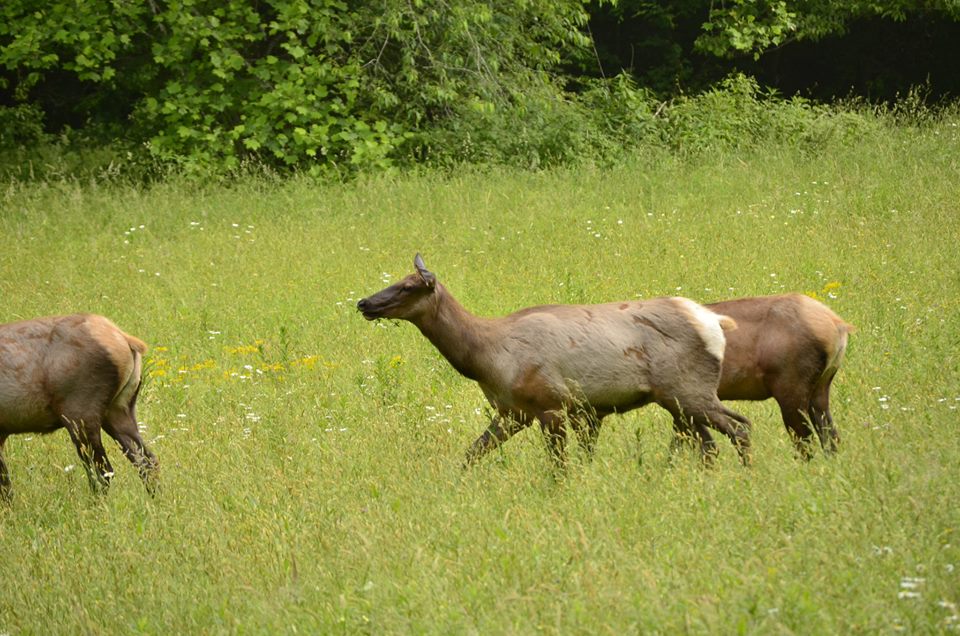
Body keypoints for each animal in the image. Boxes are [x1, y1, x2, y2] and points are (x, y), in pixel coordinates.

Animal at [0, 314, 158, 502]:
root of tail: (125, 339)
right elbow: (5, 485)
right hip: (118, 409)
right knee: (147, 460)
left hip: (80, 414)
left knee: (103, 471)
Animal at [356, 253, 752, 468]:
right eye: (396, 279)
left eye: (408, 287)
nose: (363, 302)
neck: (486, 359)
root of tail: (715, 323)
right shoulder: (513, 412)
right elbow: (471, 454)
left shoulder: (551, 405)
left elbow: (559, 468)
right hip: (678, 399)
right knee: (712, 442)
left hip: (689, 391)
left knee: (740, 428)